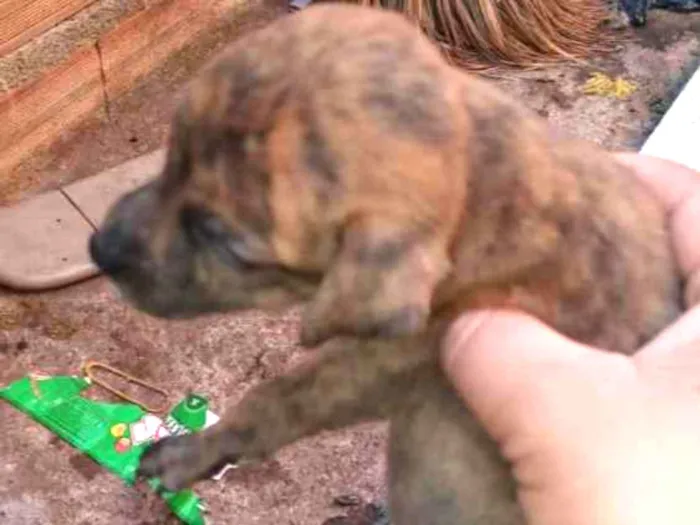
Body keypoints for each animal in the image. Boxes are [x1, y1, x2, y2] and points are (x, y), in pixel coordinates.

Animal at [87, 5, 684, 524]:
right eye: (171, 156)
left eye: (225, 243)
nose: (99, 250)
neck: (485, 185)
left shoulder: (389, 365)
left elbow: (279, 398)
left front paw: (191, 453)